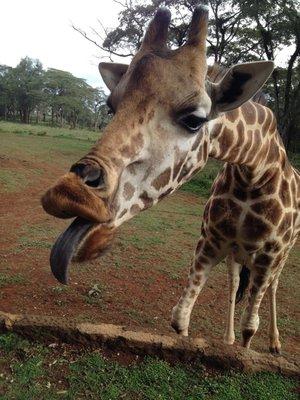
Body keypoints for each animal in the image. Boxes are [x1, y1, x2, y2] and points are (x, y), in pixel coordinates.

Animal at [41, 4, 298, 352]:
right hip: (236, 255)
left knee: (271, 289)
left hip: (279, 258)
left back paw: (274, 344)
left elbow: (250, 327)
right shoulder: (210, 242)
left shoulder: (268, 257)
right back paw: (228, 339)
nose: (67, 195)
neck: (255, 170)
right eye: (111, 108)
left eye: (194, 119)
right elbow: (180, 319)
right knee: (234, 285)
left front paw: (246, 352)